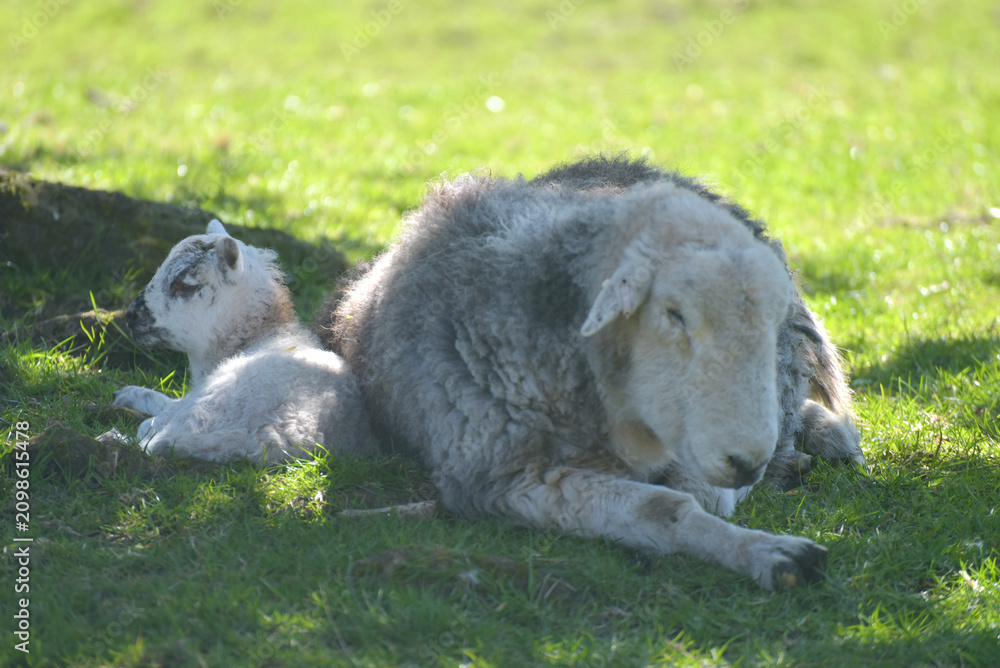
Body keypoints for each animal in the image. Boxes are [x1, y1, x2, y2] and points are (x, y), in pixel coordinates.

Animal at [105, 220, 378, 465]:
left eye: (186, 286)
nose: (131, 315)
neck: (258, 333)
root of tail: (269, 438)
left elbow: (162, 409)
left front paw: (128, 396)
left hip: (214, 405)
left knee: (150, 434)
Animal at [319, 156, 863, 589]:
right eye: (673, 315)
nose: (746, 460)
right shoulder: (507, 479)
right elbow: (664, 508)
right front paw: (775, 555)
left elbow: (701, 494)